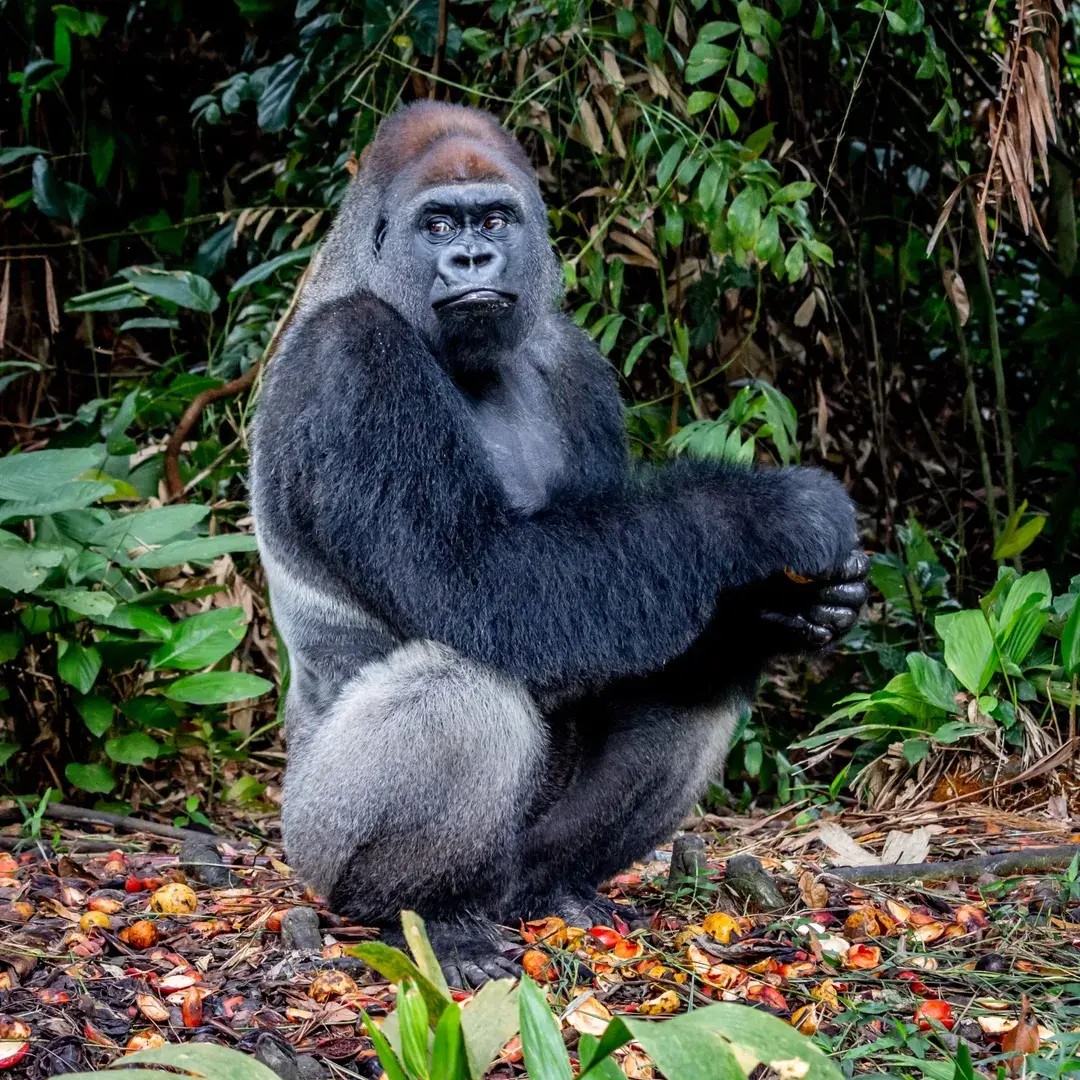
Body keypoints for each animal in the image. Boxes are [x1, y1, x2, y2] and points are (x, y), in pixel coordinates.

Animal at [250, 102, 868, 986]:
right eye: (437, 224)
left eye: (492, 221)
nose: (471, 257)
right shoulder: (352, 359)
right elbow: (479, 579)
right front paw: (763, 515)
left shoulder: (572, 358)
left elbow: (617, 591)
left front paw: (772, 613)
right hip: (313, 837)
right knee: (459, 693)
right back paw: (425, 917)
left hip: (519, 862)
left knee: (695, 691)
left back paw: (557, 886)